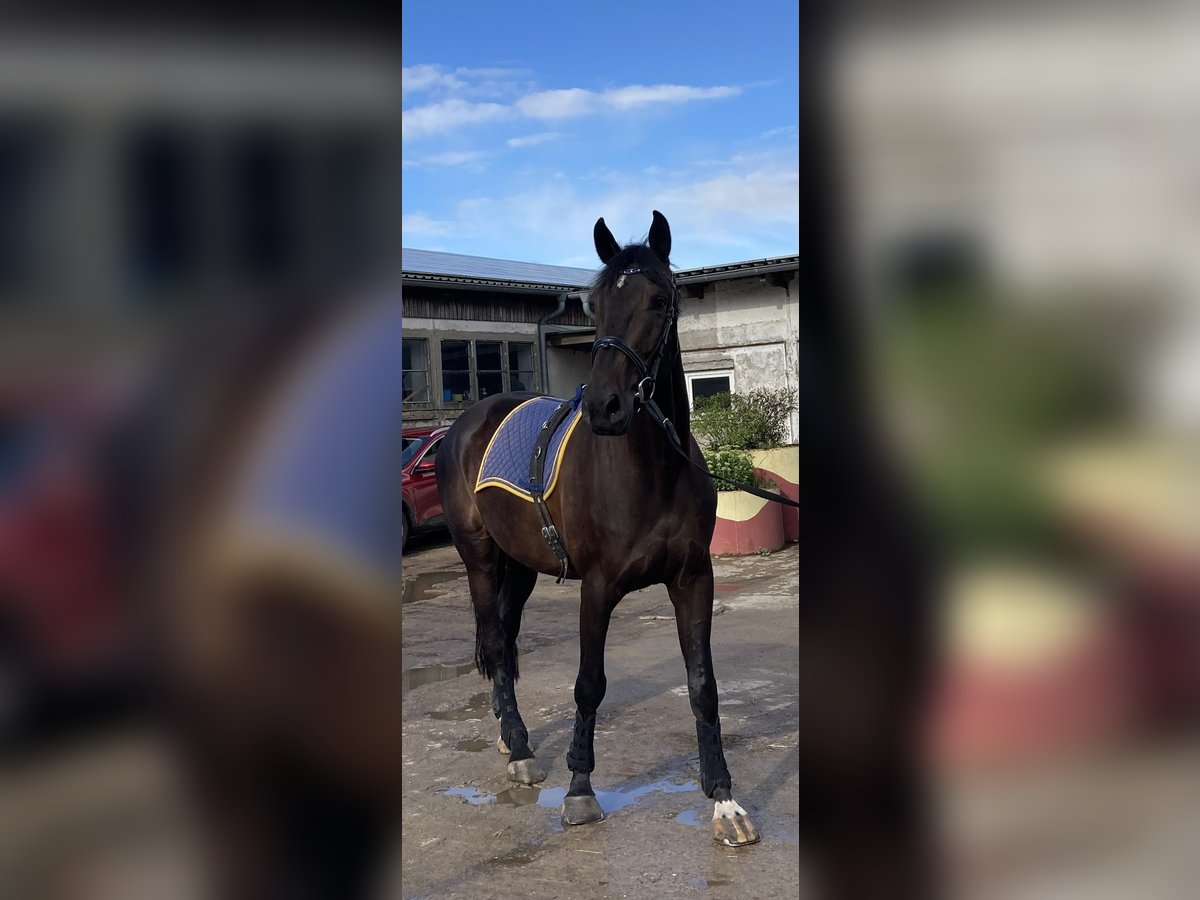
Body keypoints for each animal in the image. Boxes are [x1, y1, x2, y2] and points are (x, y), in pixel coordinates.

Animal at [434, 211, 758, 844]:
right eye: (596, 303)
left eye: (659, 299)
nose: (606, 406)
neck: (650, 473)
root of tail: (465, 422)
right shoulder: (598, 587)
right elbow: (589, 683)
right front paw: (579, 789)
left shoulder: (694, 580)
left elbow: (703, 686)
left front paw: (724, 800)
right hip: (479, 558)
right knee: (494, 640)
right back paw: (519, 751)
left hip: (520, 567)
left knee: (506, 639)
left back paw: (514, 738)